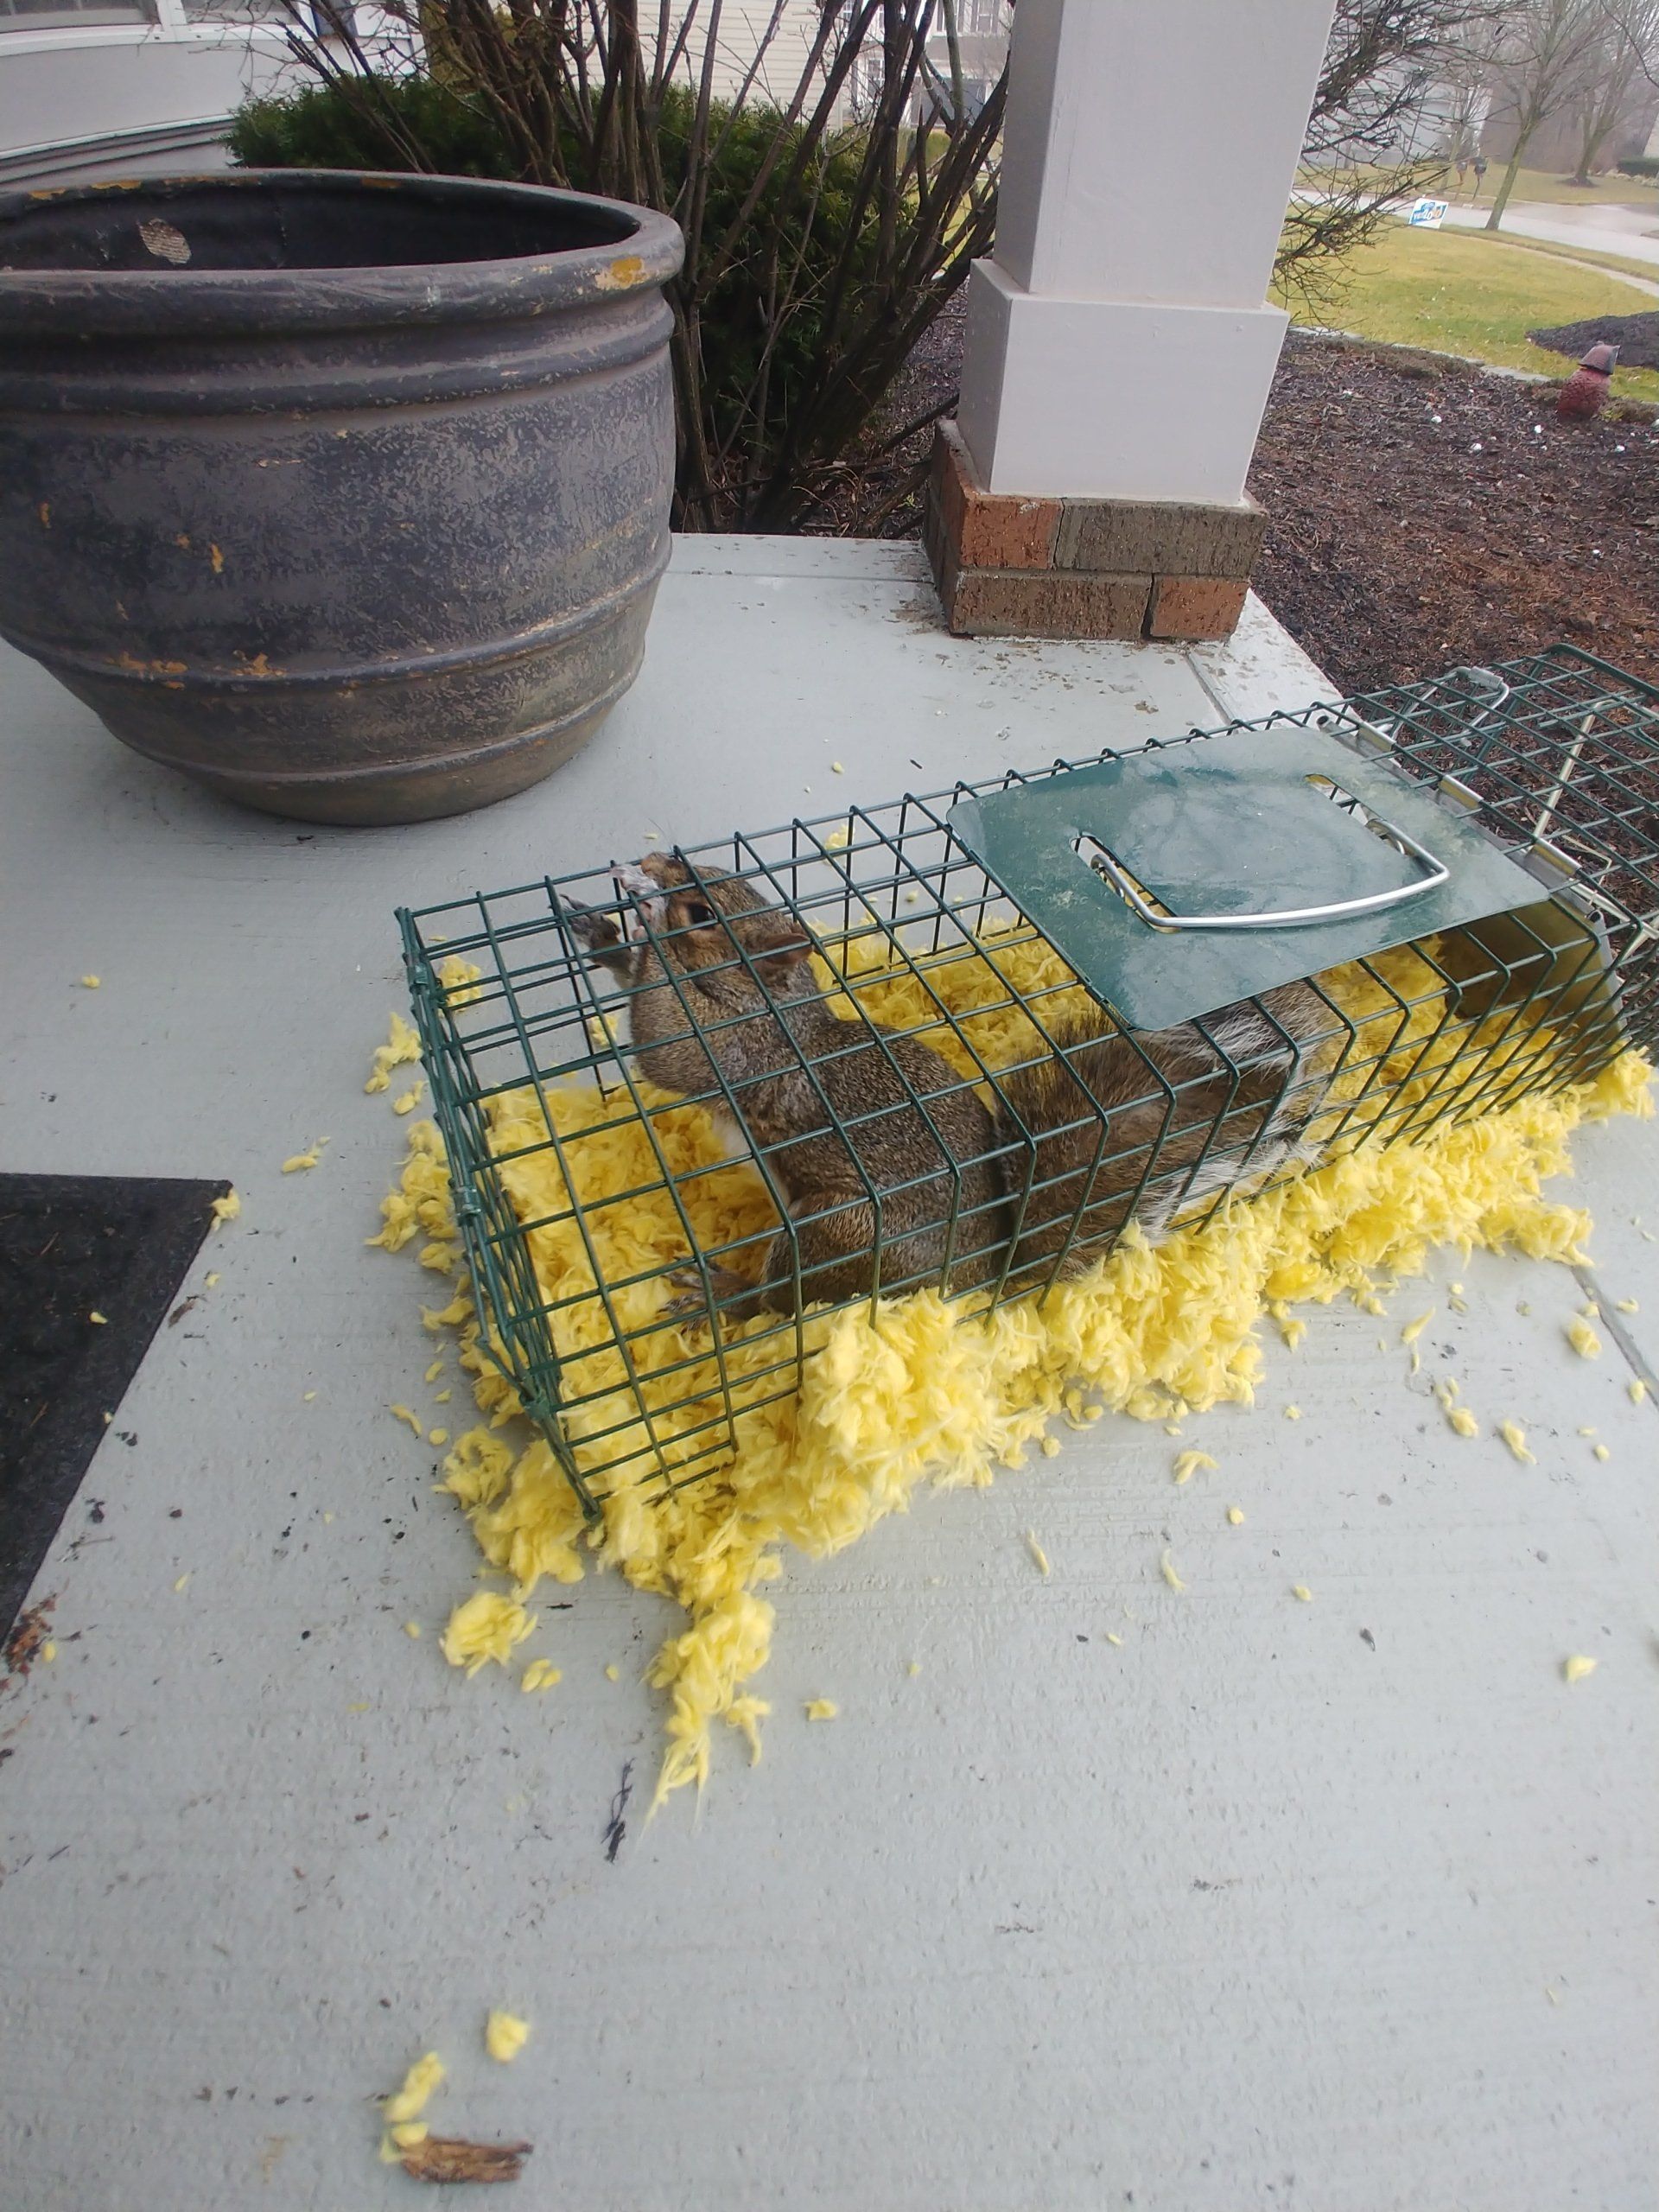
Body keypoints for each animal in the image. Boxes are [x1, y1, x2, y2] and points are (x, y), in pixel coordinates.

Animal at [568, 852, 1336, 1320]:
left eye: (701, 914)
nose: (647, 867)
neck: (779, 1007)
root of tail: (977, 1274)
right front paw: (603, 932)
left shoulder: (741, 1055)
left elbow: (666, 1042)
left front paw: (641, 930)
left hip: (840, 1231)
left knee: (787, 1301)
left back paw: (725, 1294)